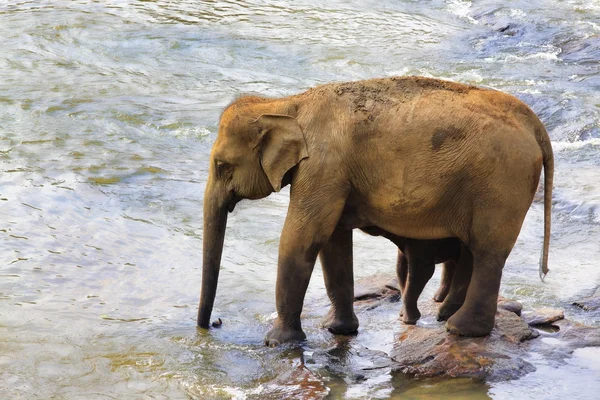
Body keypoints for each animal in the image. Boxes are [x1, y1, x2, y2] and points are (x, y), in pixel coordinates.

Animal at [199, 76, 556, 346]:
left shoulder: (323, 167)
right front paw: (338, 328)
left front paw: (277, 342)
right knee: (473, 251)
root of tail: (534, 124)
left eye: (221, 166)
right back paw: (448, 317)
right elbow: (334, 243)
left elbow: (302, 238)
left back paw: (460, 329)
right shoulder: (333, 175)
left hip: (501, 185)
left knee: (487, 252)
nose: (211, 325)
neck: (286, 105)